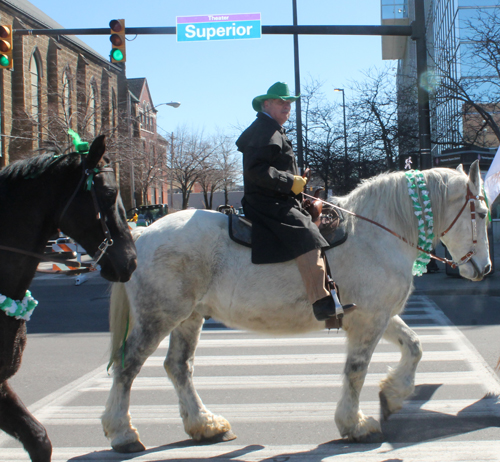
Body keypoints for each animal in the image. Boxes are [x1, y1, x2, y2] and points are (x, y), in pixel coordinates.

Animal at [100, 161, 488, 452]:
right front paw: (356, 424)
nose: (484, 269)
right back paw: (123, 433)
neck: (377, 234)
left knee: (178, 366)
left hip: (189, 317)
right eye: (482, 212)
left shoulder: (376, 314)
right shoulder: (369, 321)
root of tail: (140, 235)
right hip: (158, 316)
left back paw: (205, 425)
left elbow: (415, 346)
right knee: (128, 366)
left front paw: (393, 395)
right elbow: (356, 370)